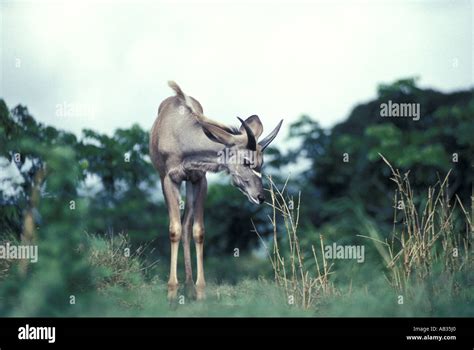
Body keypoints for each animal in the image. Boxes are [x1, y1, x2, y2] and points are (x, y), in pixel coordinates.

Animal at [150, 82, 282, 300]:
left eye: (262, 163)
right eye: (247, 161)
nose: (260, 196)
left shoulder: (199, 179)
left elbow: (198, 231)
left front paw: (200, 291)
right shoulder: (169, 179)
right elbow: (174, 230)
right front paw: (171, 291)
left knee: (187, 225)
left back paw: (189, 287)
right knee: (181, 226)